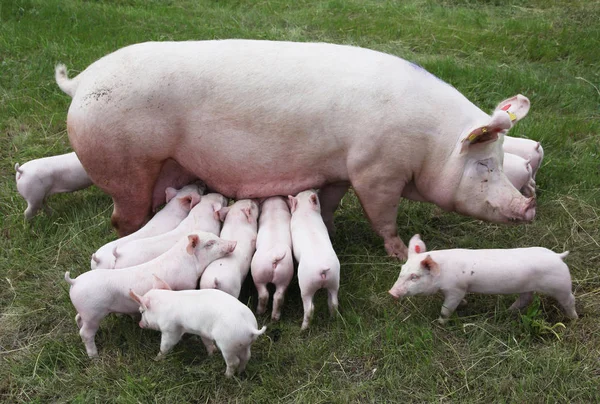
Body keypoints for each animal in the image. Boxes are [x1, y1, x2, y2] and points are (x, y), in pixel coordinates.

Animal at [55, 39, 536, 258]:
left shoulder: (341, 171)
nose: (528, 207)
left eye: (498, 162)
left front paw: (330, 229)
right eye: (485, 167)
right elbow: (383, 216)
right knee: (122, 217)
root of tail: (80, 83)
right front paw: (400, 253)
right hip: (125, 166)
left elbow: (331, 202)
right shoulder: (375, 171)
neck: (429, 143)